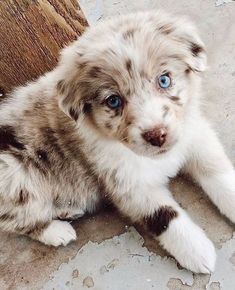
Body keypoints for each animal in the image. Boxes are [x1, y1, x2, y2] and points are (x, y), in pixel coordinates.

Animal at [0, 11, 235, 274]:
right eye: (113, 101)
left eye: (164, 80)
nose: (157, 135)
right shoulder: (127, 184)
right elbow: (163, 215)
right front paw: (196, 250)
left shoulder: (195, 135)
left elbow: (218, 171)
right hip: (13, 174)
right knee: (16, 220)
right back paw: (57, 230)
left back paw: (66, 209)